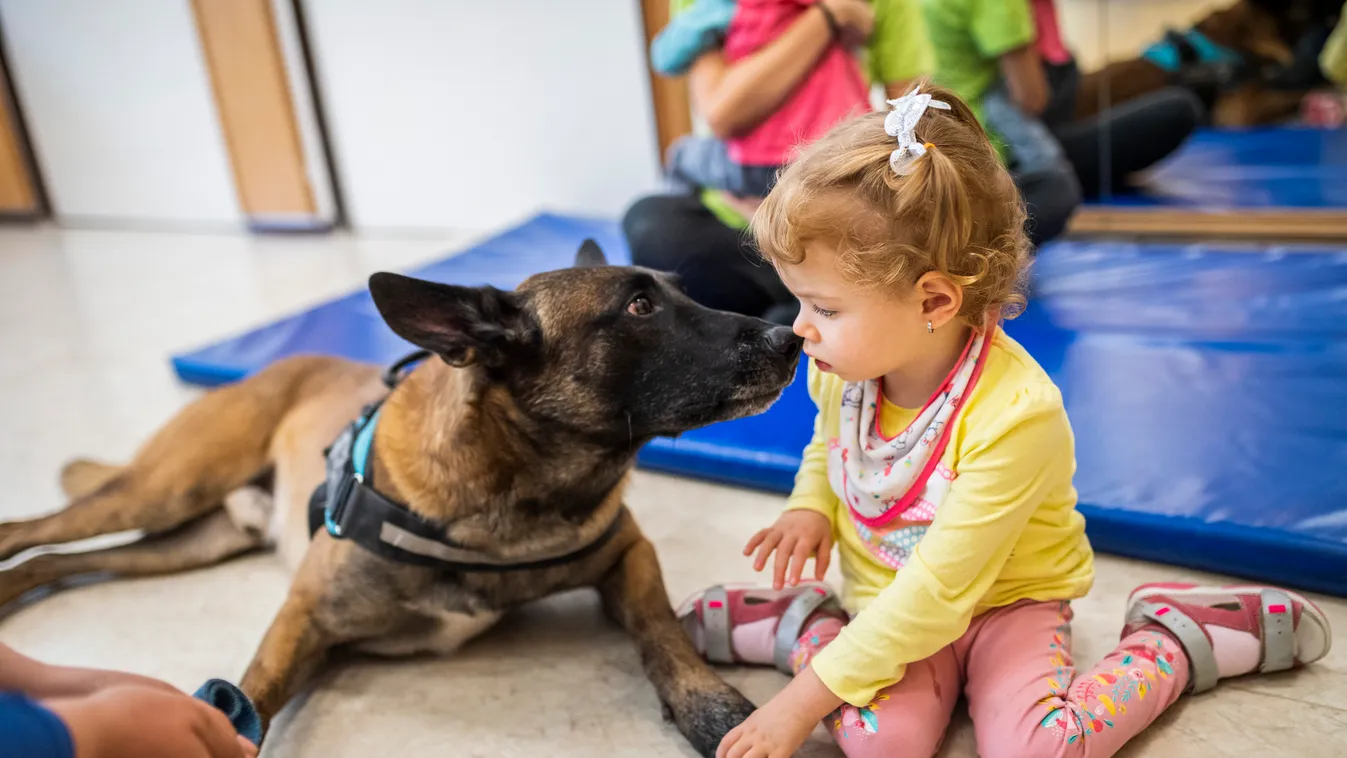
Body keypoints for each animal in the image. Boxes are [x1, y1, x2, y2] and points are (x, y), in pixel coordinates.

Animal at [0, 239, 797, 753]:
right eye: (638, 307)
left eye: (679, 291)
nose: (789, 339)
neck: (509, 488)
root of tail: (278, 364)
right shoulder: (304, 615)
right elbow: (247, 701)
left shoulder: (629, 551)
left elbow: (661, 631)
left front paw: (714, 710)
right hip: (165, 490)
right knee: (34, 529)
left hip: (192, 538)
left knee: (61, 560)